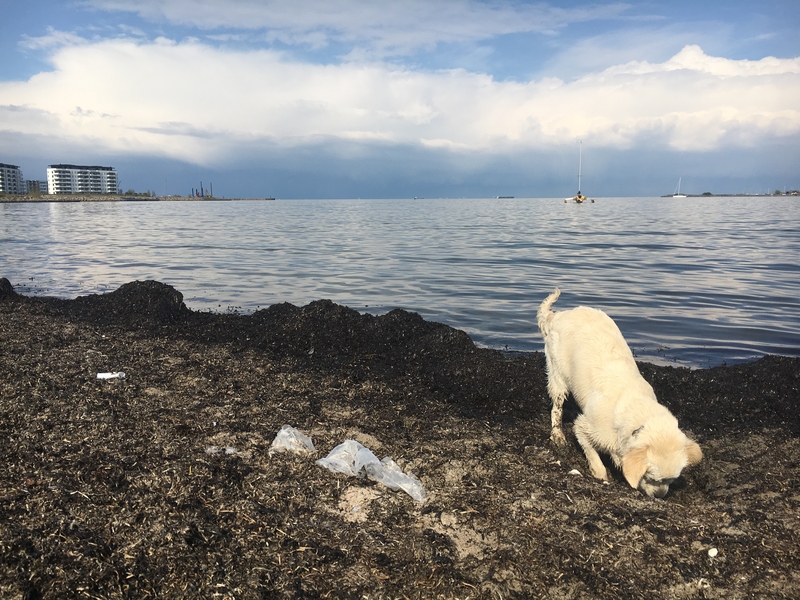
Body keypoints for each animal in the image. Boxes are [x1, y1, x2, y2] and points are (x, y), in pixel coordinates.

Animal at [536, 288, 700, 500]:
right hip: (558, 376)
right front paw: (601, 474)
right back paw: (557, 434)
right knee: (556, 408)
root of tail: (558, 315)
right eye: (652, 477)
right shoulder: (584, 427)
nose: (660, 495)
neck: (635, 406)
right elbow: (592, 452)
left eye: (671, 480)